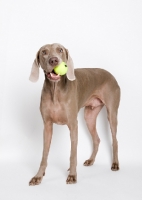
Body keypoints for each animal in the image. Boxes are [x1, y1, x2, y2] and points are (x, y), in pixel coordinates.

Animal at [28, 43, 120, 185]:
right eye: (44, 52)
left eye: (60, 49)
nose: (54, 60)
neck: (55, 90)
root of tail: (111, 74)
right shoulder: (47, 126)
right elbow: (44, 154)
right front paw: (38, 176)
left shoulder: (73, 125)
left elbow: (73, 154)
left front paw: (72, 175)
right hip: (89, 116)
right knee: (97, 139)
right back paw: (91, 160)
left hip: (112, 113)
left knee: (115, 139)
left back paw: (115, 164)